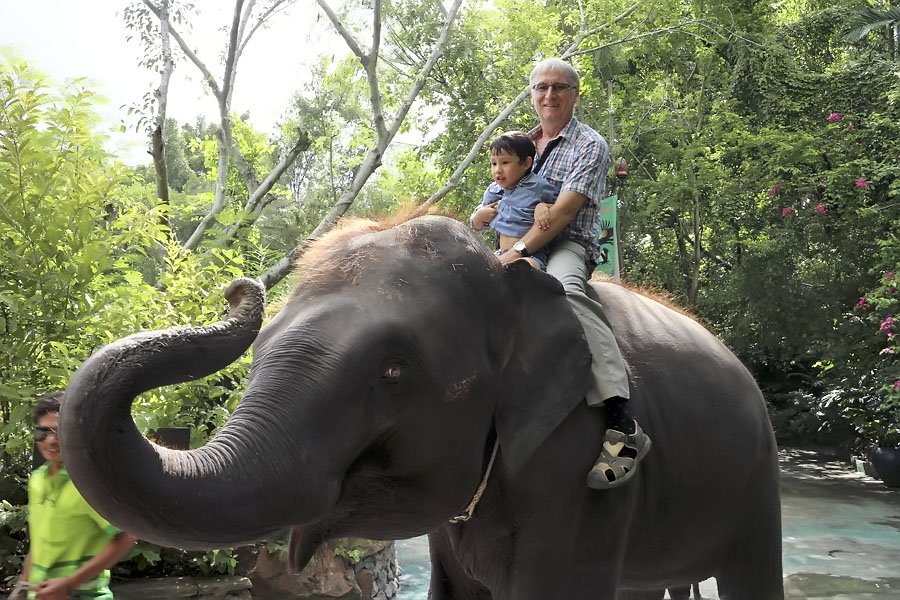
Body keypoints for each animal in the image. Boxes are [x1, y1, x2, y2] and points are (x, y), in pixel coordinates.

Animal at [59, 215, 783, 599]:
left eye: (393, 371)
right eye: (259, 349)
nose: (238, 289)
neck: (509, 278)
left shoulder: (575, 463)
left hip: (755, 477)